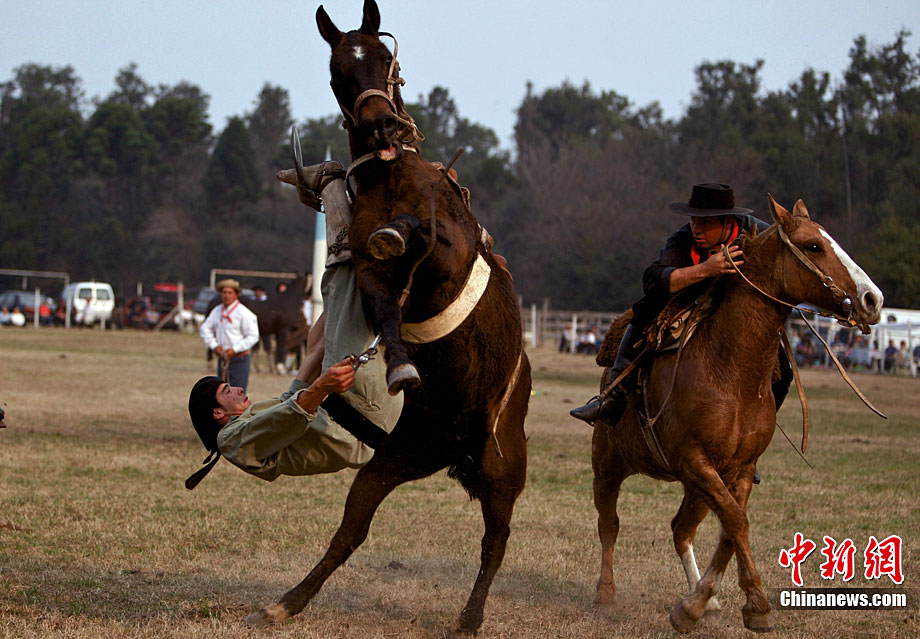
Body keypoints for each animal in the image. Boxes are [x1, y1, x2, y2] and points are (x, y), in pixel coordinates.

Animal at [245, 1, 530, 635]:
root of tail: (457, 449)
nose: (380, 127)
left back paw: (470, 616)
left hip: (503, 465)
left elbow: (421, 234)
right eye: (337, 71)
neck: (391, 178)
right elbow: (386, 309)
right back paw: (288, 601)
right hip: (397, 458)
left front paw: (402, 230)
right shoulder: (374, 277)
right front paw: (399, 368)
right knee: (351, 530)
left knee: (496, 540)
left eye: (383, 59)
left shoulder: (447, 253)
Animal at [591, 194, 883, 633]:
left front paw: (700, 604)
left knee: (681, 529)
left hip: (693, 486)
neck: (729, 369)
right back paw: (606, 593)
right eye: (814, 246)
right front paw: (753, 606)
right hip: (608, 462)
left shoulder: (738, 467)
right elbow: (736, 521)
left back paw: (705, 600)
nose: (872, 299)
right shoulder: (693, 459)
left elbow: (732, 525)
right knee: (609, 524)